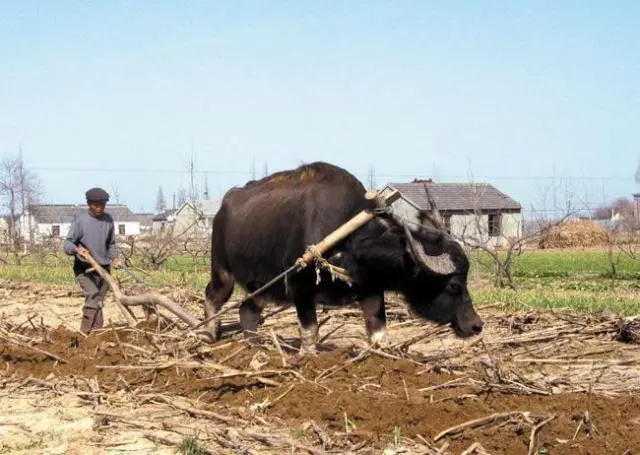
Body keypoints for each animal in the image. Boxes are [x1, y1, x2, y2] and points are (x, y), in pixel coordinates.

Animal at [205, 162, 480, 350]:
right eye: (455, 284)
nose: (477, 325)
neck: (348, 243)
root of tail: (224, 206)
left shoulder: (370, 290)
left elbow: (379, 332)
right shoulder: (300, 287)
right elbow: (310, 333)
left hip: (263, 287)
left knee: (247, 310)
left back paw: (253, 347)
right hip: (223, 271)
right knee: (213, 295)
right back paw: (209, 334)